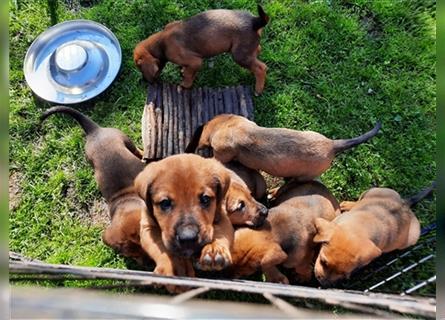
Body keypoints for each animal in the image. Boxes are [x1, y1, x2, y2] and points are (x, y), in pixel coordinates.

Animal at [40, 105, 147, 264]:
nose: (148, 265)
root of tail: (95, 131)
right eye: (132, 256)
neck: (127, 199)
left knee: (136, 150)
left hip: (125, 140)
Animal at [133, 5, 268, 94]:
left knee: (261, 68)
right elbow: (189, 72)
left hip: (239, 55)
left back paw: (258, 89)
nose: (144, 81)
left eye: (139, 66)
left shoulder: (195, 61)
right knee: (258, 51)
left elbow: (188, 75)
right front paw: (184, 72)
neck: (161, 42)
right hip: (246, 49)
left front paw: (184, 85)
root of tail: (255, 21)